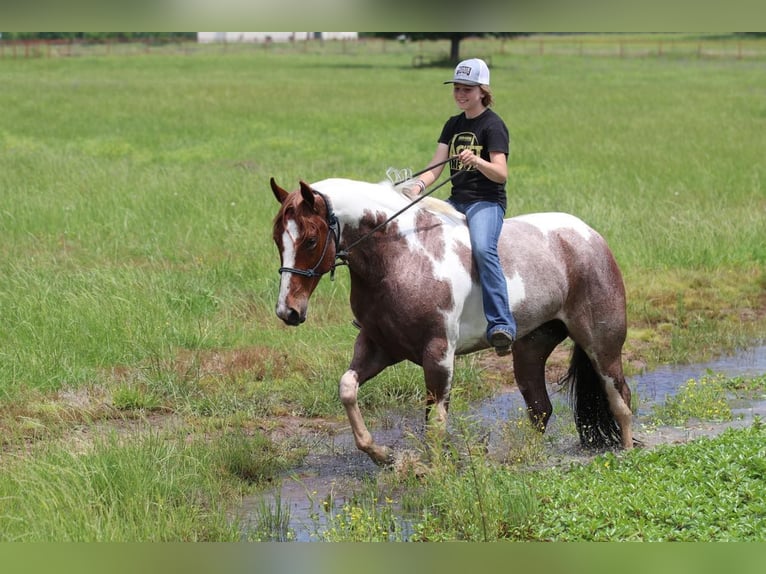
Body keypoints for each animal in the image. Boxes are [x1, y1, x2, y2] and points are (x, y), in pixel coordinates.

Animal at [272, 178, 636, 466]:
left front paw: (430, 472)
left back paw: (628, 452)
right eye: (278, 240)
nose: (288, 311)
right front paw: (381, 455)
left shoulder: (438, 355)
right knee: (540, 408)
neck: (401, 256)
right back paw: (524, 457)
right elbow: (347, 388)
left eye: (310, 240)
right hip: (530, 350)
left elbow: (435, 423)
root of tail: (590, 236)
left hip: (602, 345)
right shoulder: (380, 347)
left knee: (620, 400)